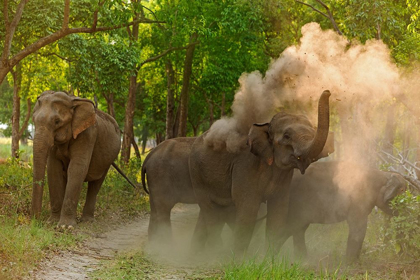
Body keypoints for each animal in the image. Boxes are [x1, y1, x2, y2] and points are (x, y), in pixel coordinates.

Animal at [30, 91, 120, 229]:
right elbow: (53, 170)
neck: (72, 100)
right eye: (34, 120)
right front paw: (52, 222)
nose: (36, 221)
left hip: (109, 159)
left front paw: (65, 227)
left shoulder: (88, 134)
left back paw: (87, 221)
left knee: (95, 184)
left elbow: (77, 168)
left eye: (57, 121)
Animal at [189, 90, 334, 254]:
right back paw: (214, 252)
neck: (266, 125)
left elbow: (278, 211)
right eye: (287, 136)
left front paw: (269, 258)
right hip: (196, 174)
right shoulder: (245, 166)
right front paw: (238, 259)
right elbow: (248, 209)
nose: (327, 91)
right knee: (211, 212)